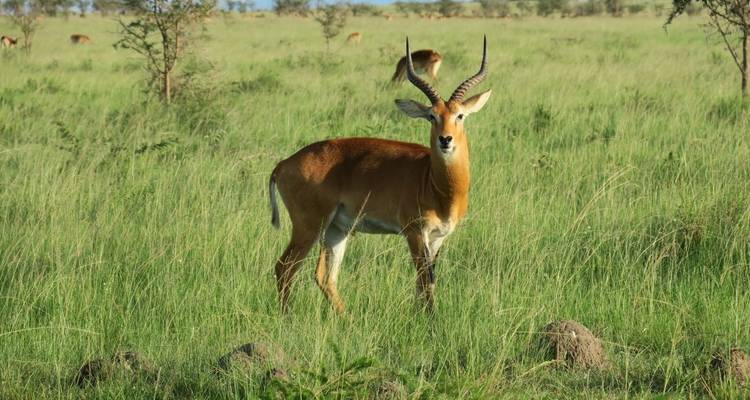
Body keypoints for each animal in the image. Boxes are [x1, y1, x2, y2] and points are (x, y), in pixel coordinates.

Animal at [268, 37, 490, 314]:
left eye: (460, 115)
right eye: (431, 116)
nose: (445, 140)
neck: (435, 184)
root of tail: (283, 164)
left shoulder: (438, 237)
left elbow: (426, 283)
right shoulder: (414, 232)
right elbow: (424, 281)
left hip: (337, 229)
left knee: (325, 277)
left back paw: (347, 318)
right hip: (309, 226)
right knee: (284, 267)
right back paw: (288, 317)